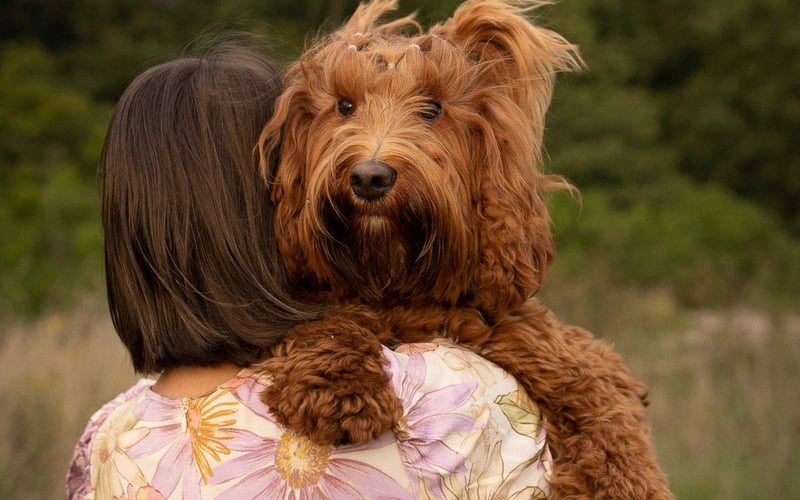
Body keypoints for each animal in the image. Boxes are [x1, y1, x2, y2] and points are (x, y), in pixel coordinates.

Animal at [255, 1, 668, 498]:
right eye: (345, 106)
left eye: (432, 109)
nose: (370, 177)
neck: (396, 280)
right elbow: (326, 323)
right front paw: (339, 387)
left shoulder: (532, 335)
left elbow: (600, 396)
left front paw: (622, 475)